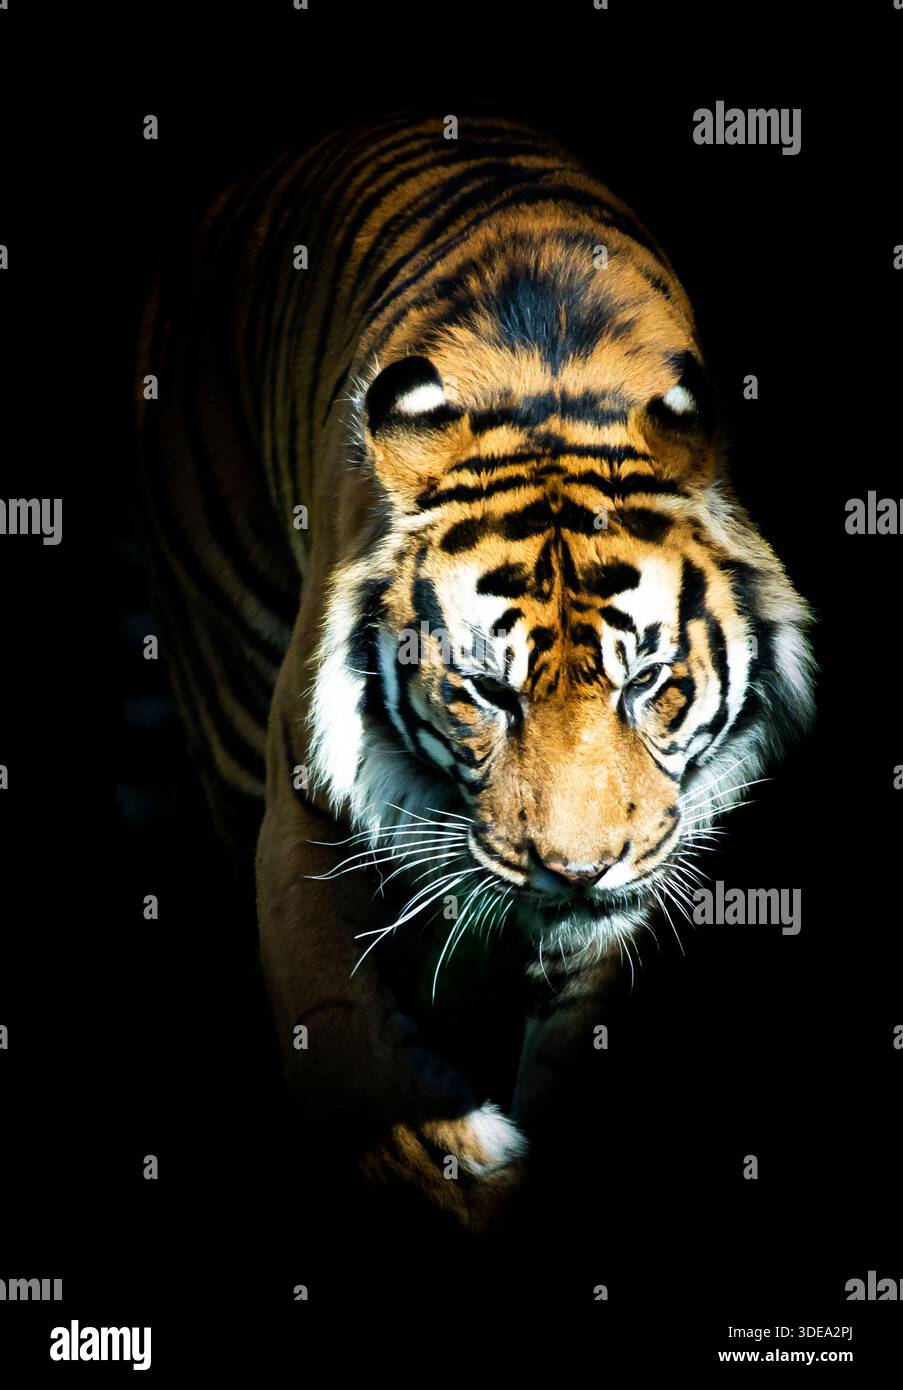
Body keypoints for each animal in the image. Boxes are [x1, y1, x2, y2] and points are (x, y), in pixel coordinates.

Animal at [135, 111, 815, 1231]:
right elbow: (343, 1042)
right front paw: (463, 1165)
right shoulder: (302, 803)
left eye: (646, 685)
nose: (575, 872)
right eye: (485, 692)